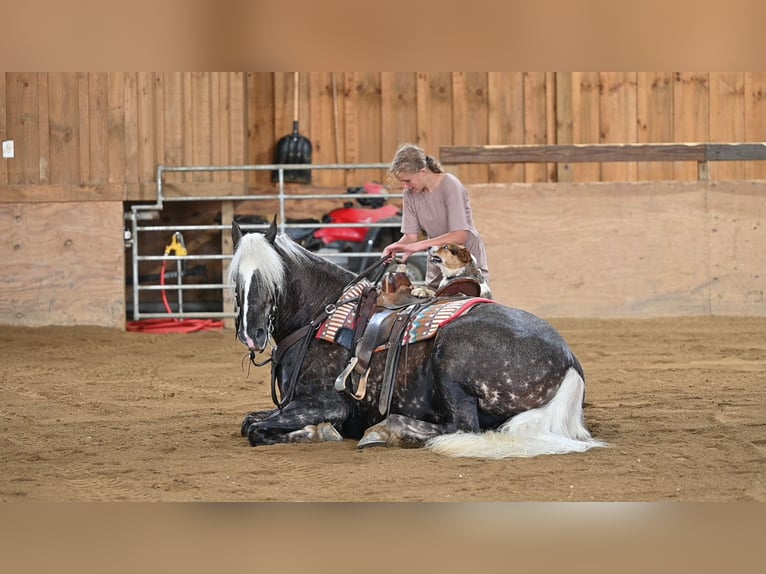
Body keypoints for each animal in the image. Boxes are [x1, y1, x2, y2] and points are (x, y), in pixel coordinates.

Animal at [229, 219, 605, 458]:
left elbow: (255, 429)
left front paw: (319, 432)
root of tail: (570, 361)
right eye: (236, 280)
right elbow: (249, 421)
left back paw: (385, 430)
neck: (320, 315)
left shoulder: (326, 403)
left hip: (451, 359)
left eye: (271, 279)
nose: (251, 334)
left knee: (464, 428)